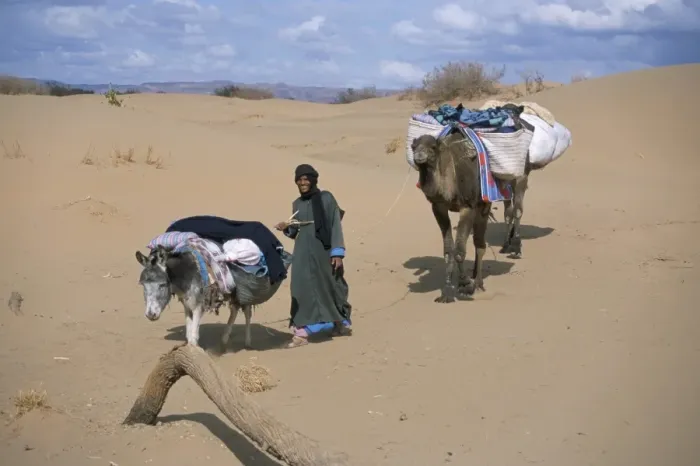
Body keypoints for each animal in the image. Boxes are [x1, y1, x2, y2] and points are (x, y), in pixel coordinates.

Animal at [411, 130, 493, 303]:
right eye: (413, 146)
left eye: (433, 147)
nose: (419, 155)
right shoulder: (438, 206)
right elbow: (449, 250)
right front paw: (447, 292)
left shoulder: (468, 206)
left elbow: (460, 251)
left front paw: (465, 284)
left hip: (484, 204)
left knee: (480, 244)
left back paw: (478, 283)